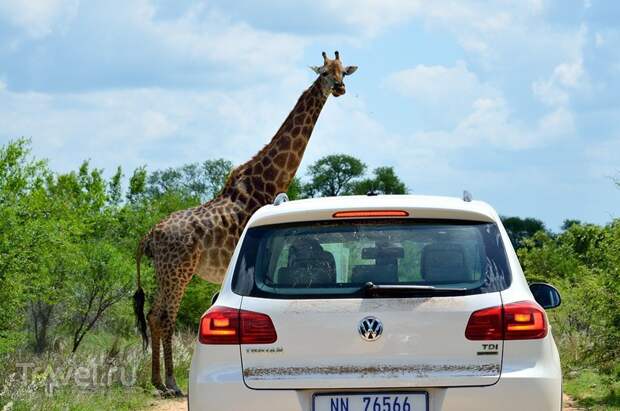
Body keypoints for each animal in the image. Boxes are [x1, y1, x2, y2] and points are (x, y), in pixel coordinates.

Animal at [134, 50, 358, 396]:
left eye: (343, 72)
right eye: (323, 73)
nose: (339, 88)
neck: (267, 180)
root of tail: (149, 236)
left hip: (164, 270)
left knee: (153, 314)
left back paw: (158, 382)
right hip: (178, 270)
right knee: (165, 316)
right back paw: (171, 383)